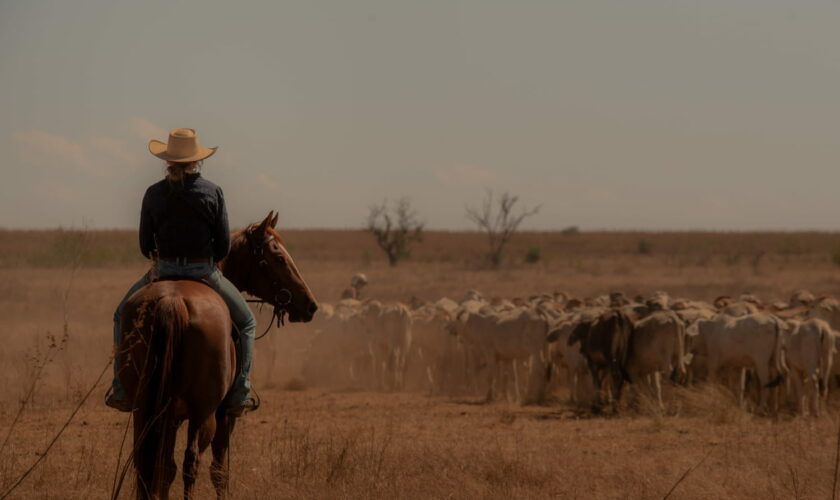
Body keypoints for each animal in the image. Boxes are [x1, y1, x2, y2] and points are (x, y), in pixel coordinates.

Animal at [116, 212, 316, 500]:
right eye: (278, 257)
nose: (310, 305)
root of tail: (171, 301)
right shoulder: (225, 416)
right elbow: (220, 471)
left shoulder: (168, 416)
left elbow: (164, 468)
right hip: (204, 414)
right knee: (191, 463)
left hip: (144, 408)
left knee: (151, 463)